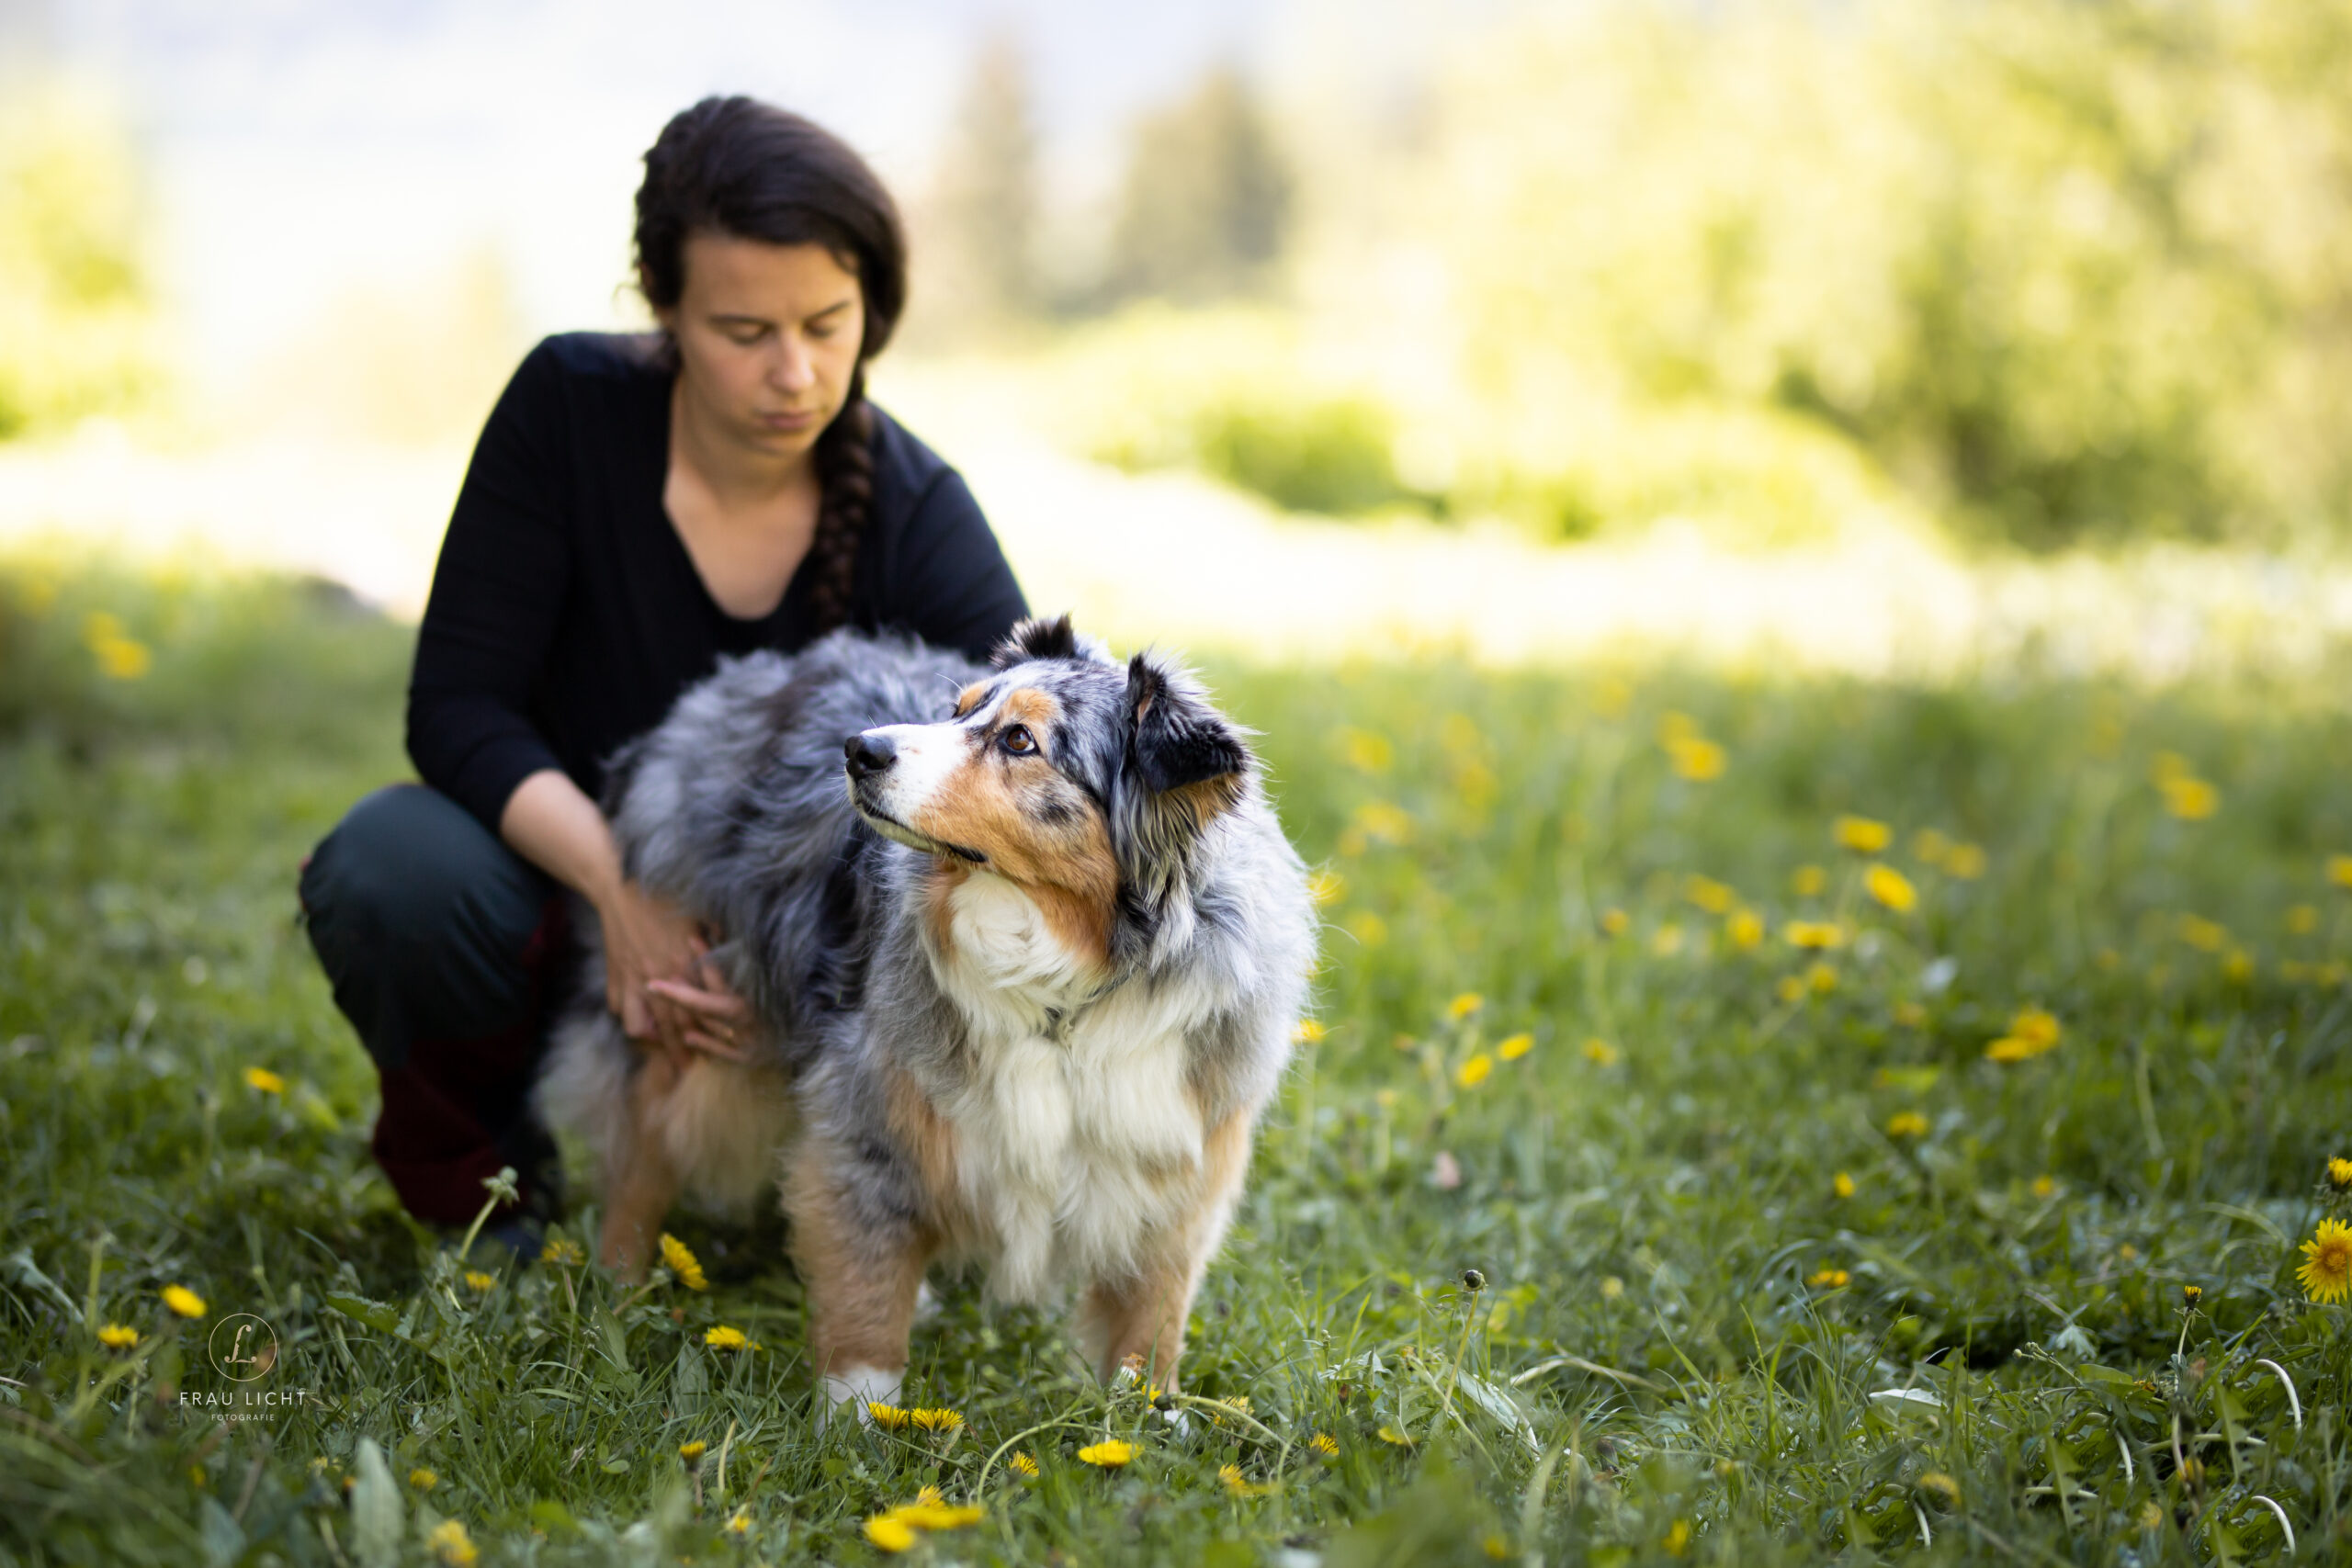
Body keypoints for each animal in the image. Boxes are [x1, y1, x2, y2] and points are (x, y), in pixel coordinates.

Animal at [538, 620, 1326, 1419]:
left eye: (1019, 740)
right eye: (957, 708)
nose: (858, 749)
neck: (1069, 985)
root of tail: (730, 681)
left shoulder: (1177, 1157)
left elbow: (1150, 1322)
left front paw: (1141, 1426)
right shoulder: (869, 1115)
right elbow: (864, 1298)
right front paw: (857, 1423)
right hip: (685, 1010)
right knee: (642, 1151)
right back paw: (611, 1295)